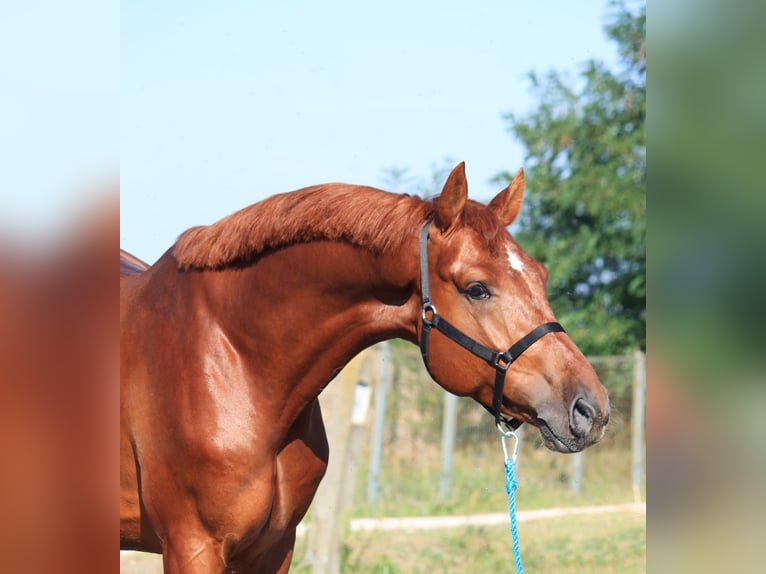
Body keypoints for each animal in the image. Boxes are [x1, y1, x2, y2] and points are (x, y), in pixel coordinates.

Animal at [121, 163, 612, 574]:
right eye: (477, 288)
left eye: (541, 275)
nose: (590, 409)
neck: (234, 357)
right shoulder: (193, 546)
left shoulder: (273, 548)